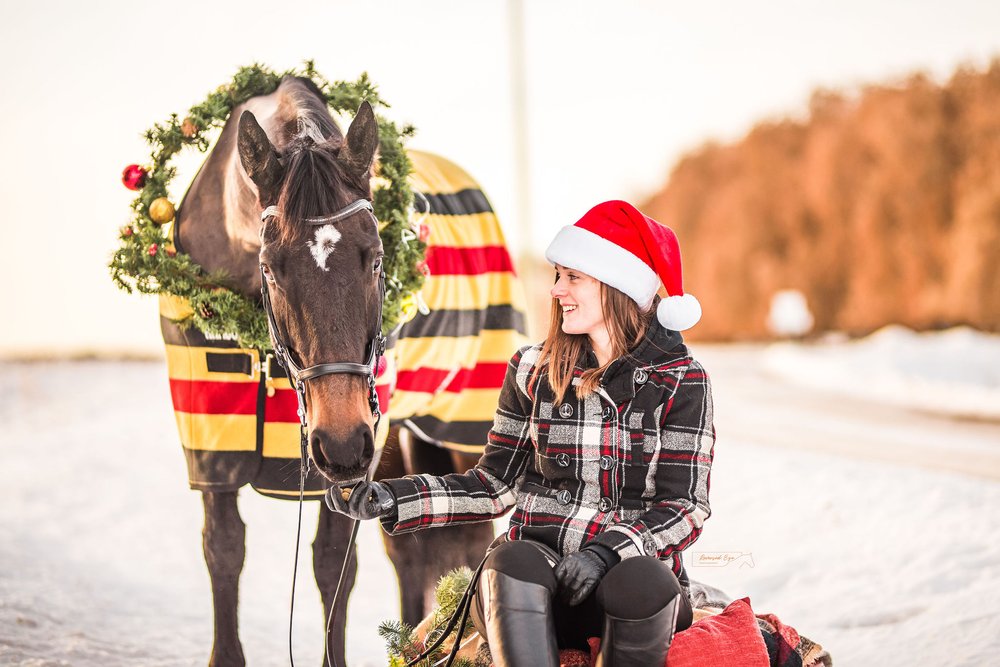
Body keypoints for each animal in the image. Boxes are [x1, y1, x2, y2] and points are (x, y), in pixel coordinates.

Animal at [158, 75, 524, 664]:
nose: (342, 443)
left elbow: (333, 563)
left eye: (376, 257)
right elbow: (224, 549)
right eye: (270, 268)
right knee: (412, 552)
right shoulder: (211, 430)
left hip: (455, 424)